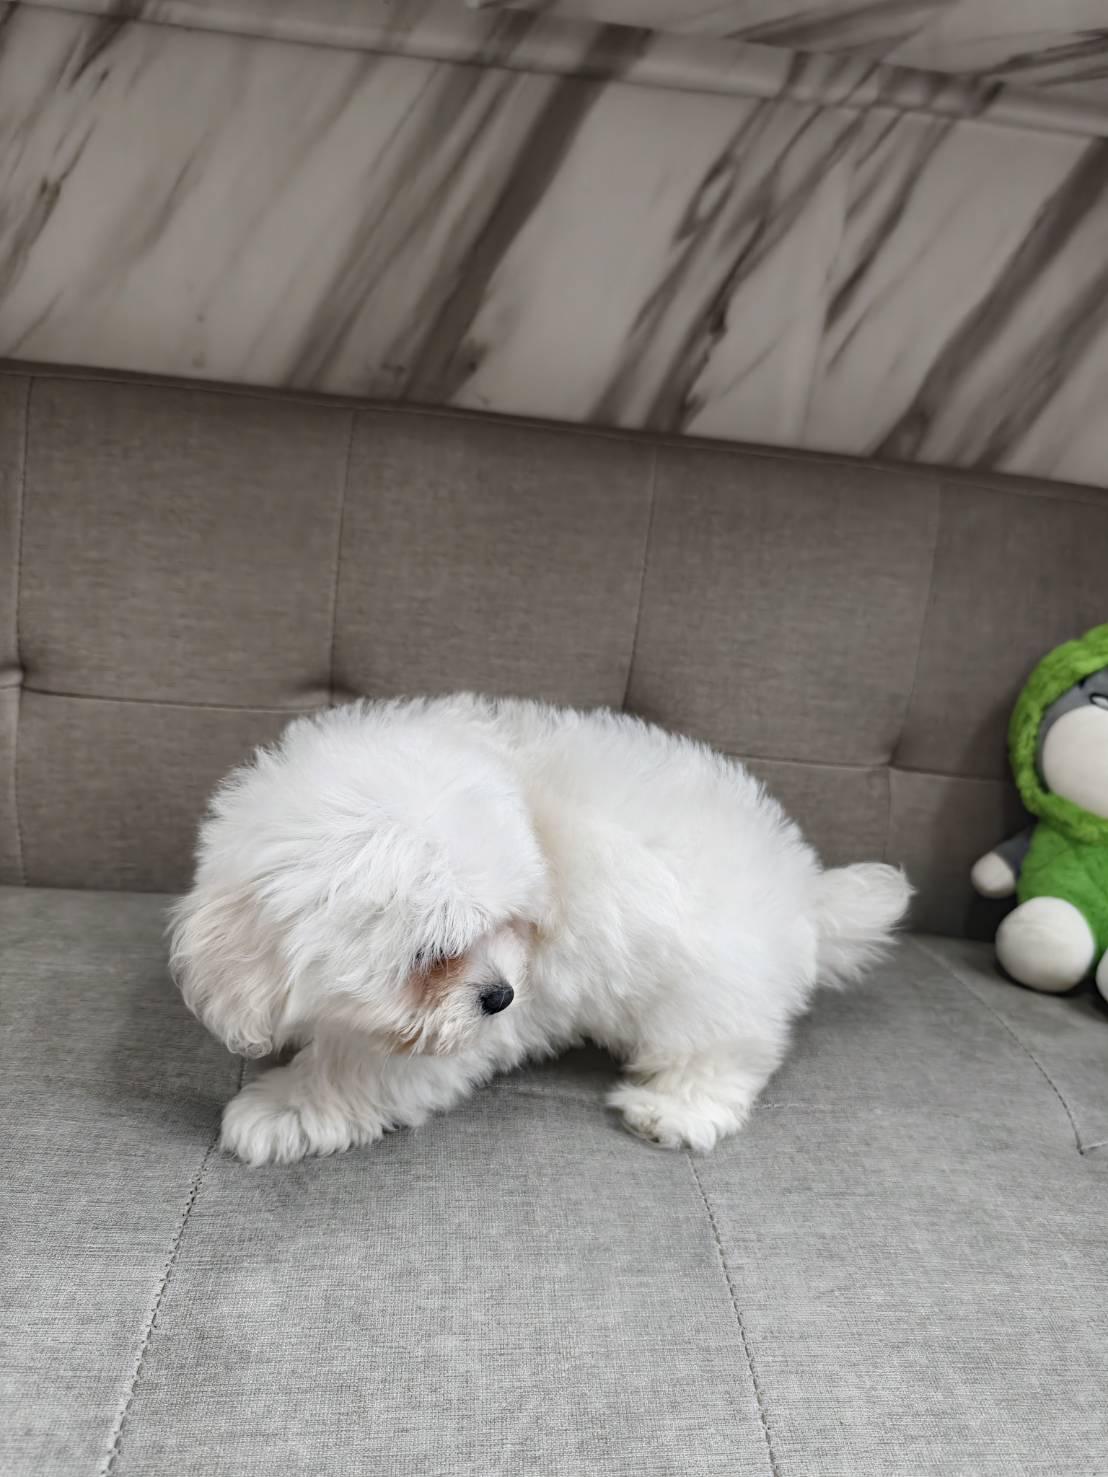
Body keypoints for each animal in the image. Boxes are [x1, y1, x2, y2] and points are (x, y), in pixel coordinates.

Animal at [170, 695, 911, 1164]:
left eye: (508, 922)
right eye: (433, 955)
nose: (501, 996)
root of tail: (803, 889)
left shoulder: (443, 1041)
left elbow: (360, 1068)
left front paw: (280, 1110)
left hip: (707, 992)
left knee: (720, 1055)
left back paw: (671, 1112)